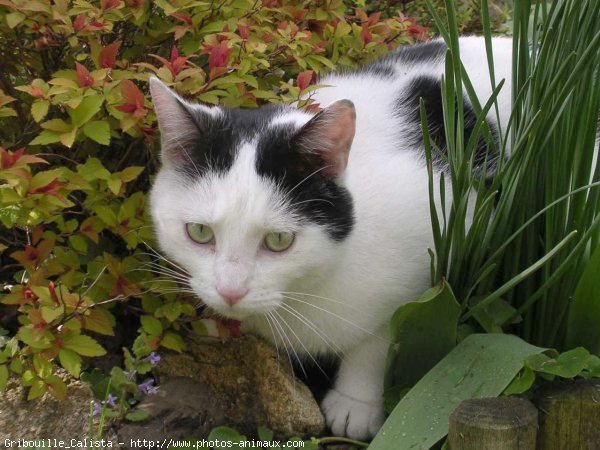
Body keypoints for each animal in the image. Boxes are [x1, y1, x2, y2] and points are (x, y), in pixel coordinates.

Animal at [149, 36, 510, 440]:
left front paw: (356, 402)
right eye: (199, 232)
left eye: (279, 240)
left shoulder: (423, 266)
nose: (230, 292)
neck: (302, 294)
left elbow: (376, 340)